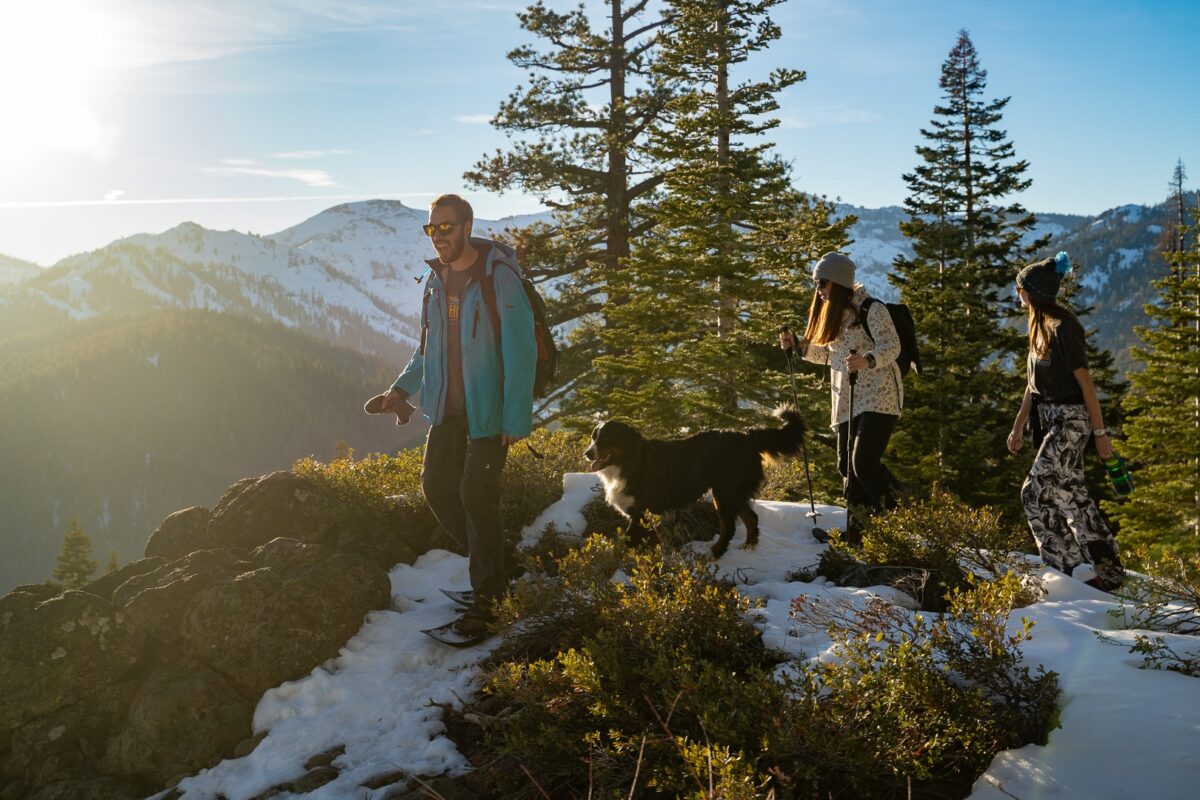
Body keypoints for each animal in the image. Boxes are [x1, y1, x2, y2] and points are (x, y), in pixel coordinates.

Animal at [583, 407, 806, 556]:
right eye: (593, 437)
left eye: (605, 438)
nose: (587, 453)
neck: (631, 462)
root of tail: (746, 434)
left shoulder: (641, 514)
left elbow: (628, 543)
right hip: (732, 493)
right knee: (752, 518)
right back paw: (748, 548)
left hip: (725, 492)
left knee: (729, 527)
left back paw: (714, 554)